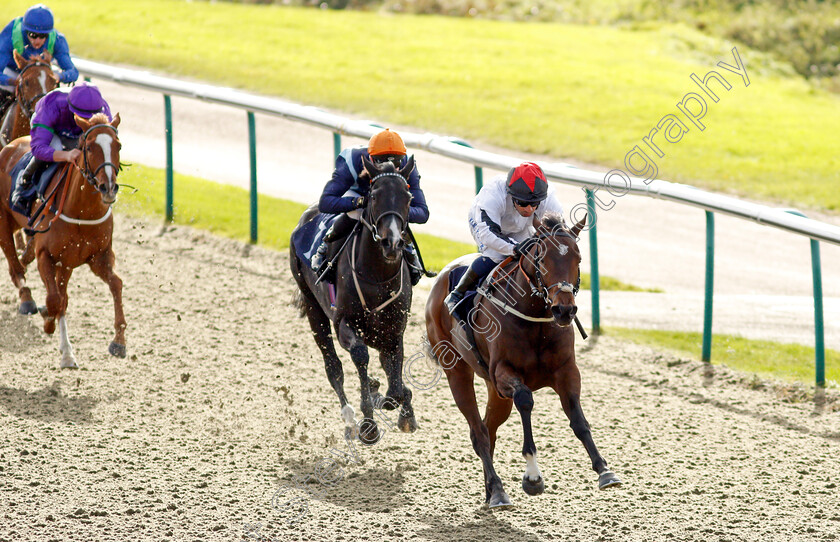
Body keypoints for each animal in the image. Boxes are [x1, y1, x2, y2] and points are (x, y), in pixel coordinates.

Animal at [0, 113, 124, 372]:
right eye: (89, 147)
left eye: (118, 146)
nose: (108, 188)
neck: (82, 211)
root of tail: (10, 145)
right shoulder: (46, 256)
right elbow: (55, 299)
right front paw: (48, 320)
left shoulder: (96, 258)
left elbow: (116, 285)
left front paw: (119, 342)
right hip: (3, 222)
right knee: (15, 268)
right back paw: (28, 300)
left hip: (66, 262)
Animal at [290, 156, 418, 446]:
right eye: (374, 196)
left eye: (407, 197)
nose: (392, 243)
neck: (377, 276)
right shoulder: (344, 323)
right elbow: (360, 356)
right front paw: (369, 425)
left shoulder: (394, 331)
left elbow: (396, 388)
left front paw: (400, 408)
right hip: (313, 306)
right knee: (333, 367)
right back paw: (350, 419)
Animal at [426, 216, 616, 510]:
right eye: (542, 258)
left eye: (578, 257)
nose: (564, 310)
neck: (534, 317)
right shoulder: (505, 372)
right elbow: (526, 400)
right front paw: (533, 476)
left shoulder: (566, 371)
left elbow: (577, 417)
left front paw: (604, 469)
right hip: (457, 372)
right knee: (478, 432)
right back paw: (498, 490)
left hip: (494, 390)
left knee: (489, 427)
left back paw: (490, 490)